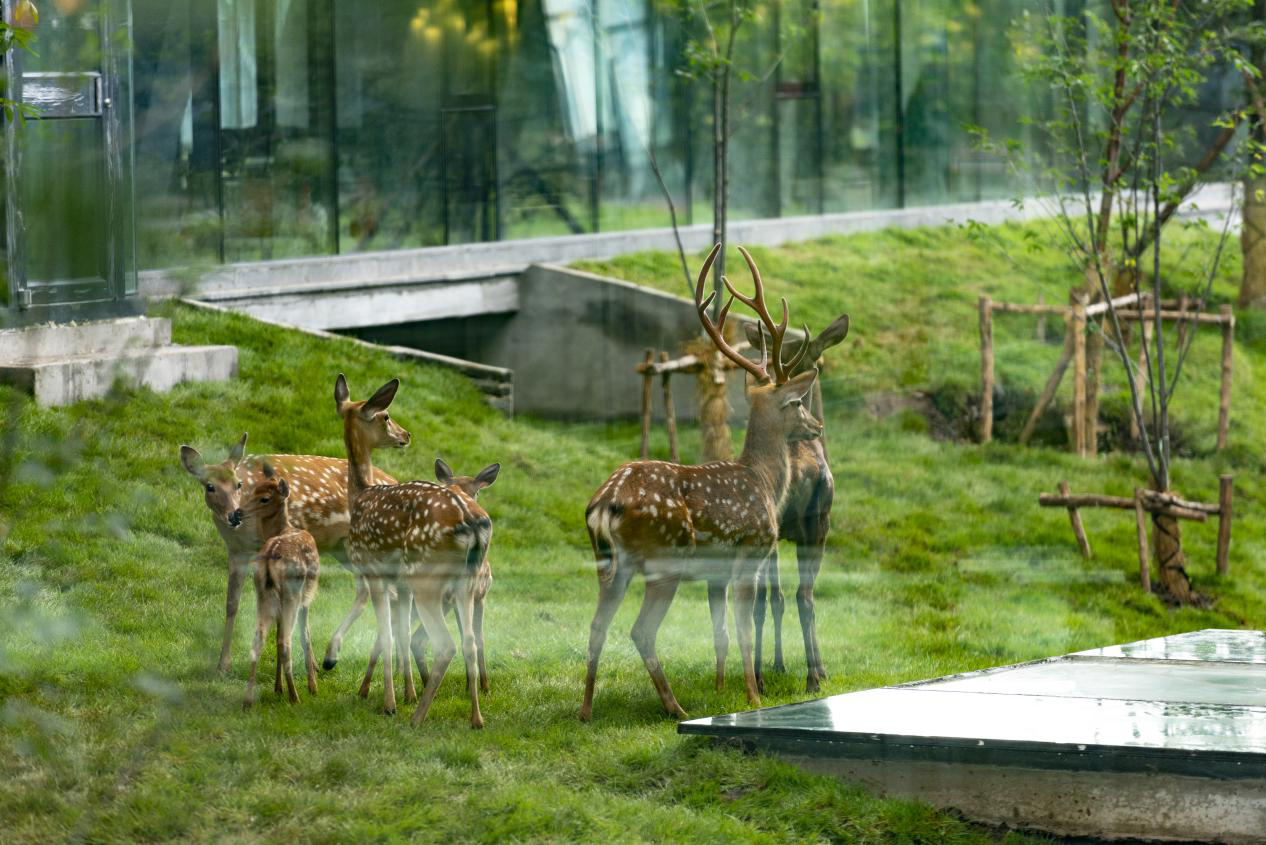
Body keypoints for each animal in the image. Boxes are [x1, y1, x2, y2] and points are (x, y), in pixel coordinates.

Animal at [179, 433, 394, 668]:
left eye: (238, 484)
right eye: (209, 487)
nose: (233, 515)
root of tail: (393, 479)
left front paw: (308, 664)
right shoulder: (236, 550)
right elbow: (231, 603)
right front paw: (222, 664)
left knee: (376, 591)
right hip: (342, 548)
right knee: (379, 591)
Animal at [240, 463, 321, 709]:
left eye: (264, 497)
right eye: (251, 492)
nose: (237, 512)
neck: (286, 528)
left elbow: (276, 636)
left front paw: (278, 687)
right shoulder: (307, 597)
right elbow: (305, 635)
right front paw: (313, 685)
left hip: (263, 594)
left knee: (259, 639)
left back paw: (248, 700)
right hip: (292, 593)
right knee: (286, 641)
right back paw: (295, 697)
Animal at [339, 377, 491, 729]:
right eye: (386, 417)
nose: (405, 435)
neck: (359, 496)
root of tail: (471, 522)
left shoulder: (374, 571)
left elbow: (387, 634)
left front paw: (390, 703)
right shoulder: (400, 582)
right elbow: (402, 633)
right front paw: (405, 693)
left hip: (428, 576)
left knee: (446, 644)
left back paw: (417, 717)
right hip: (464, 583)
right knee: (470, 640)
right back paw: (475, 718)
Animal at [579, 243, 825, 719]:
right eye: (798, 403)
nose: (817, 427)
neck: (764, 481)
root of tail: (605, 504)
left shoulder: (717, 573)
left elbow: (721, 631)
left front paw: (720, 688)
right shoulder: (750, 552)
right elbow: (745, 628)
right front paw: (752, 695)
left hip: (608, 563)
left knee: (597, 625)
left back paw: (585, 710)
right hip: (664, 557)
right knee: (640, 630)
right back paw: (674, 707)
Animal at [739, 314, 850, 689]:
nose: (818, 426)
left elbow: (776, 599)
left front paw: (779, 664)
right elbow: (787, 597)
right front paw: (806, 667)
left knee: (773, 597)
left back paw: (766, 674)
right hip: (815, 524)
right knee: (801, 595)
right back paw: (811, 675)